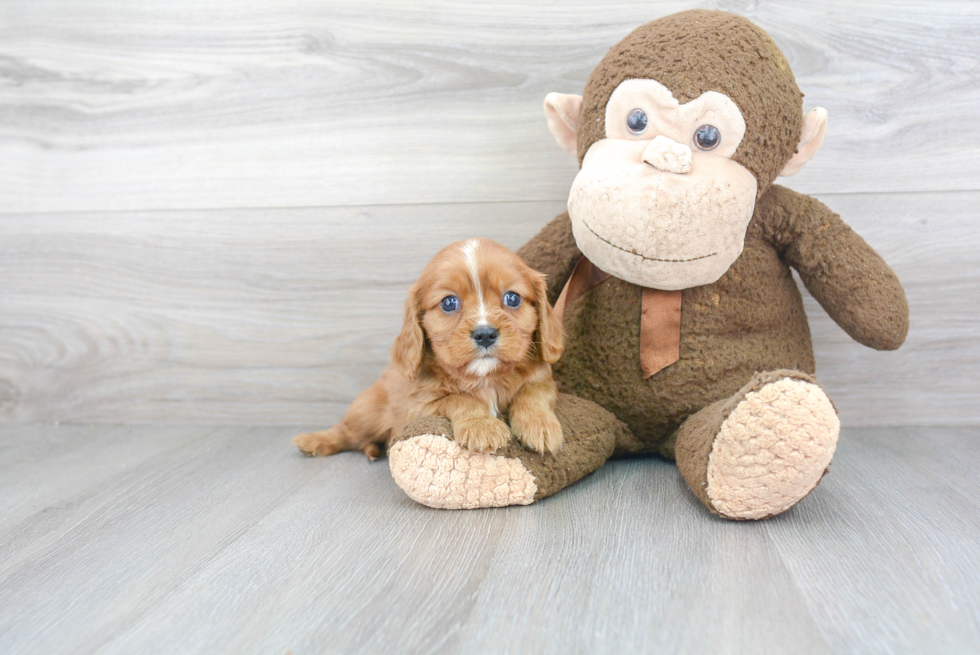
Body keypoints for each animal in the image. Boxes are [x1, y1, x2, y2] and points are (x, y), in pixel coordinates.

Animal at [294, 240, 564, 462]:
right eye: (449, 303)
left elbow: (533, 392)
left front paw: (539, 425)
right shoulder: (420, 408)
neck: (486, 378)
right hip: (366, 412)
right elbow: (459, 398)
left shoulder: (544, 380)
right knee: (346, 433)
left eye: (512, 298)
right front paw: (481, 426)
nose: (485, 334)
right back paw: (313, 441)